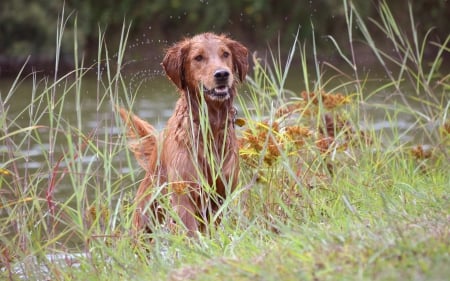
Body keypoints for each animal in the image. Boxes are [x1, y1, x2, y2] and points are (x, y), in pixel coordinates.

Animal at [118, 31, 248, 235]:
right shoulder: (183, 195)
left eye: (225, 54)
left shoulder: (219, 196)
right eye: (198, 57)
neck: (210, 127)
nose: (222, 74)